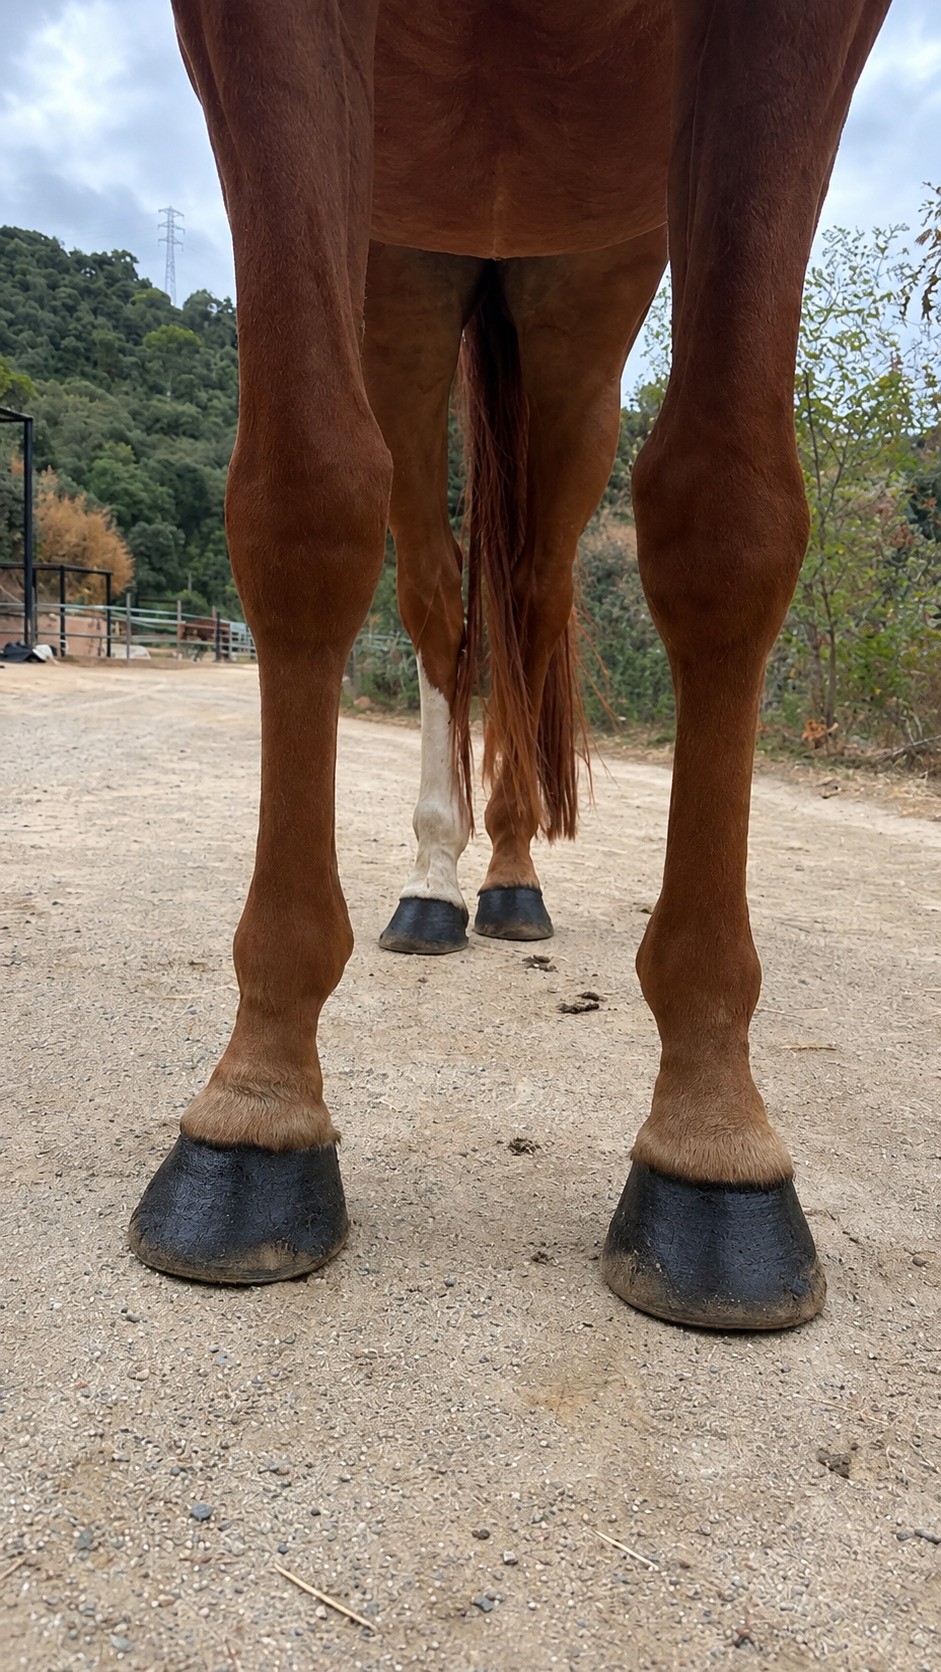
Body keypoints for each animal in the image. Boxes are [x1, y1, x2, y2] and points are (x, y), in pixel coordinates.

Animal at [129, 0, 892, 1330]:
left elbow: (727, 519)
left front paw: (711, 1135)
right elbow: (301, 496)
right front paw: (258, 1103)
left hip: (581, 319)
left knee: (531, 595)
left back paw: (509, 874)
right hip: (406, 288)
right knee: (441, 597)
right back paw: (437, 883)